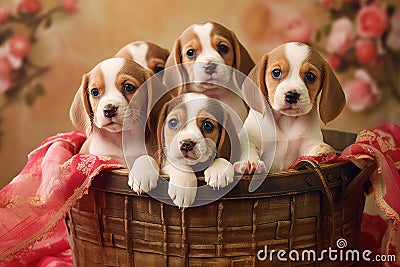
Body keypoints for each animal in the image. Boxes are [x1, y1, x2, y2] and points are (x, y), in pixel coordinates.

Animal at [236, 42, 346, 174]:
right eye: (276, 72)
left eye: (310, 76)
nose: (291, 96)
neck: (287, 120)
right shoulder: (249, 140)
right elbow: (249, 149)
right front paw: (250, 163)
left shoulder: (309, 143)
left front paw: (322, 152)